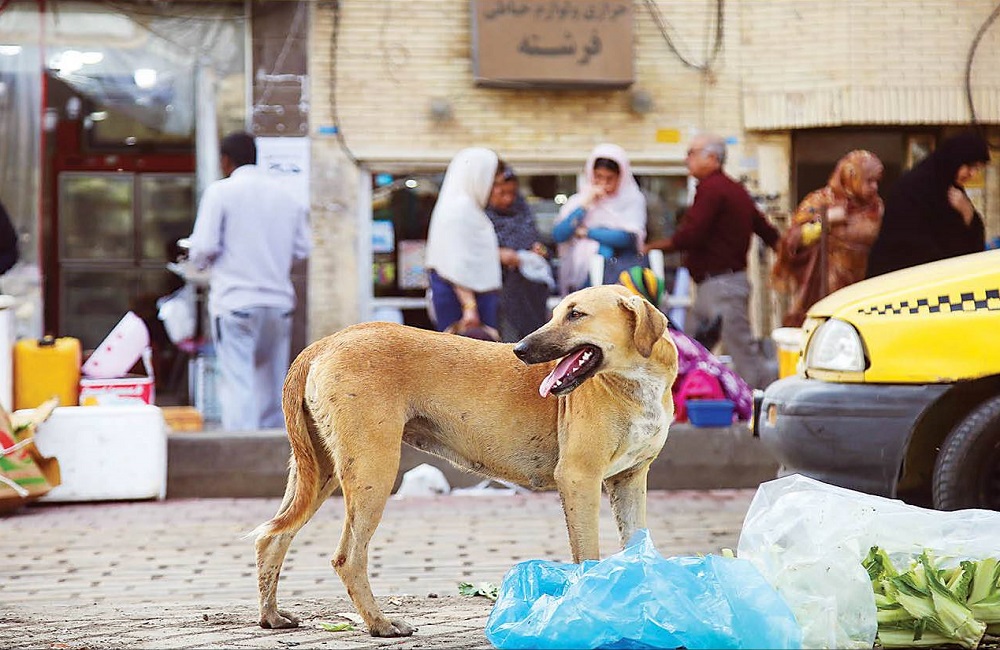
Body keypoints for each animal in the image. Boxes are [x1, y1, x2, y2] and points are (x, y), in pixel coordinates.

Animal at [254, 284, 684, 632]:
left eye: (576, 314)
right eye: (558, 312)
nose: (520, 350)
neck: (635, 381)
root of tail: (326, 342)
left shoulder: (630, 480)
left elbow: (638, 548)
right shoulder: (580, 478)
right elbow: (587, 557)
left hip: (320, 470)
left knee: (273, 538)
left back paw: (271, 616)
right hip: (372, 470)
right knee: (348, 558)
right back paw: (380, 623)